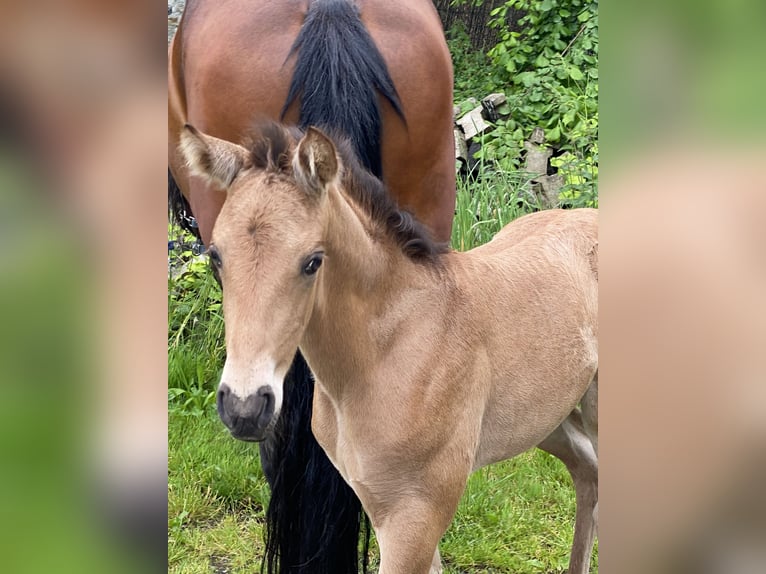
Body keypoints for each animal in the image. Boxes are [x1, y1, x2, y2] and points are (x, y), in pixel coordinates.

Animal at [178, 122, 600, 574]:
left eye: (312, 261)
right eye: (216, 256)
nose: (244, 408)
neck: (385, 351)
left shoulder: (415, 514)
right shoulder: (385, 505)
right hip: (547, 418)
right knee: (587, 471)